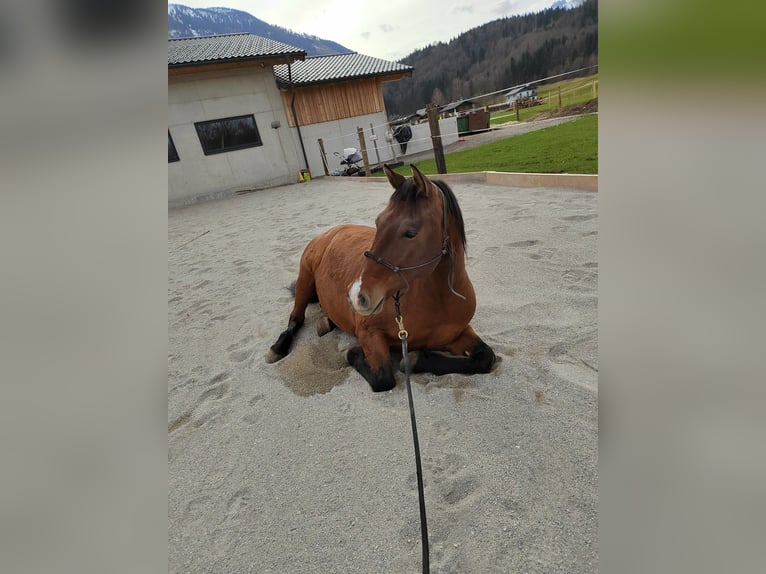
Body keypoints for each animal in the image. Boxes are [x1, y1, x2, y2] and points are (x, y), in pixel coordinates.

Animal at [266, 164, 497, 392]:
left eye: (410, 233)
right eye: (378, 222)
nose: (357, 296)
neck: (437, 301)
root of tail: (333, 231)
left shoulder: (458, 333)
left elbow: (486, 357)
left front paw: (415, 359)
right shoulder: (369, 333)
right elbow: (383, 377)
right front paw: (354, 352)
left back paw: (326, 321)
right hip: (304, 277)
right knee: (296, 317)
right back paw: (278, 347)